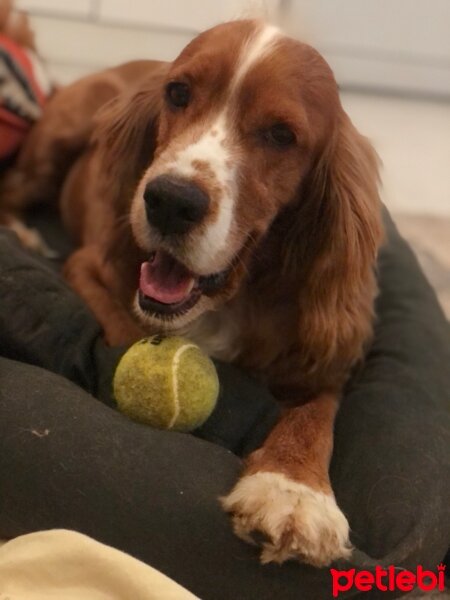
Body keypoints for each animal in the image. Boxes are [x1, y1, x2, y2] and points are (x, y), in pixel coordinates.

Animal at [2, 19, 384, 568]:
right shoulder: (90, 268)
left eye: (281, 135)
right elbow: (124, 337)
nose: (169, 201)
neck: (228, 297)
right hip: (58, 139)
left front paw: (294, 489)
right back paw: (23, 233)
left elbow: (316, 414)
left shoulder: (321, 359)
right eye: (179, 93)